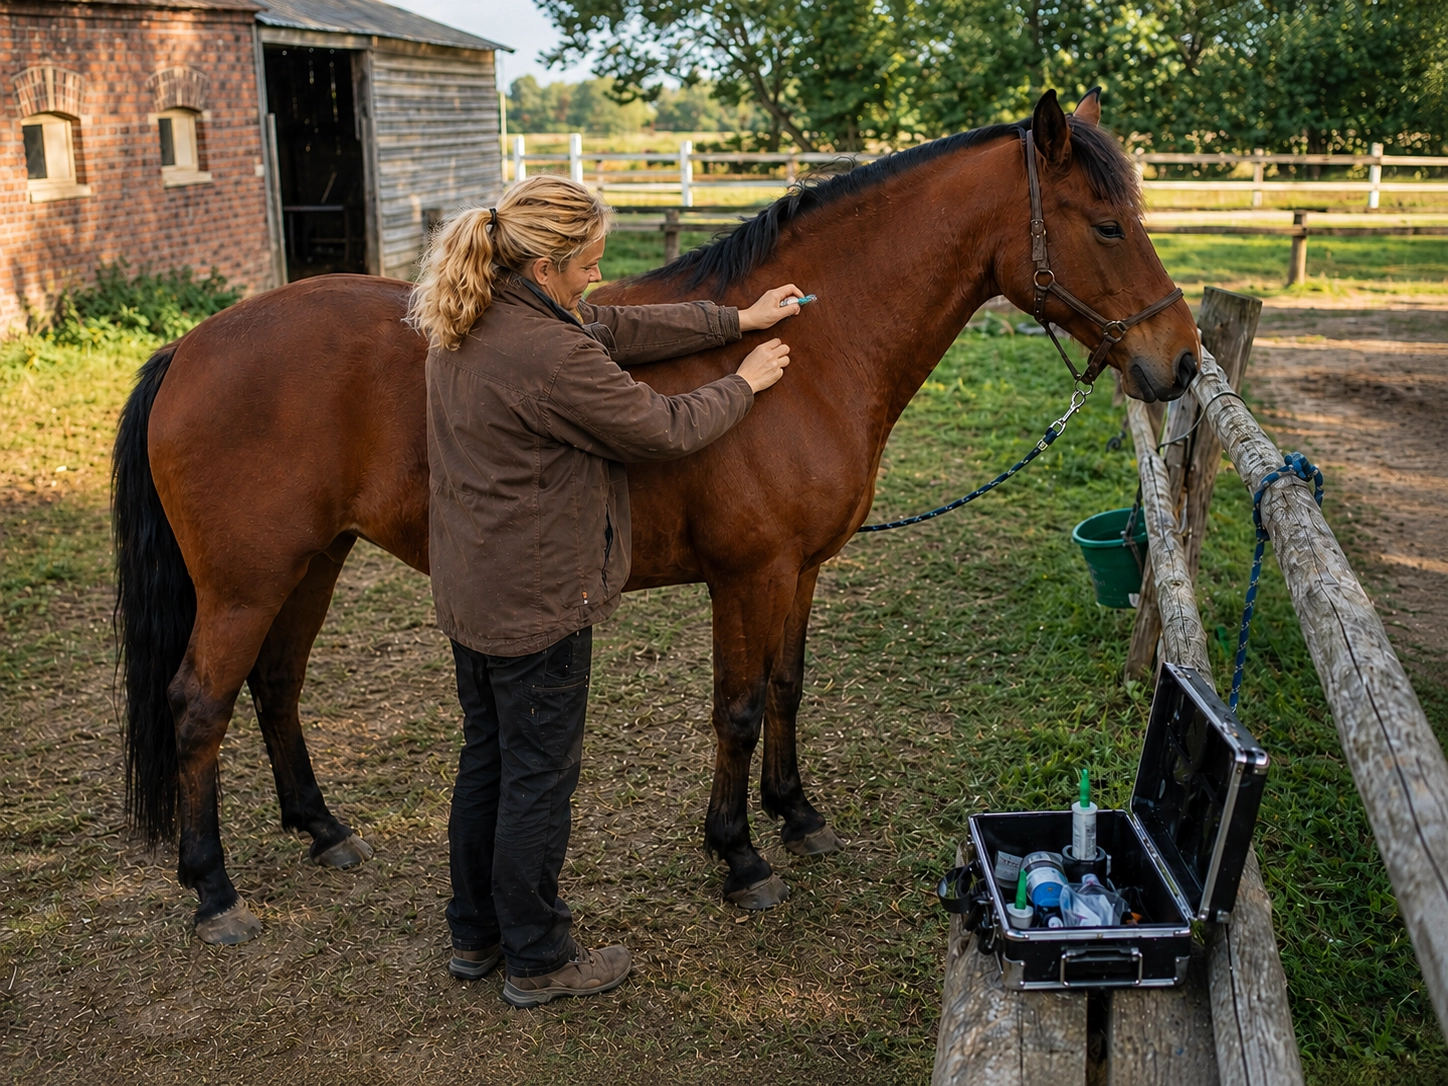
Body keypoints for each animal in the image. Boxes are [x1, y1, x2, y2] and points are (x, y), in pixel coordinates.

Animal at [113, 89, 1199, 944]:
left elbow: (789, 688)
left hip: (314, 562)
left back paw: (324, 831)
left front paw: (797, 815)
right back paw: (214, 892)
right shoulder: (749, 576)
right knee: (199, 705)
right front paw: (741, 858)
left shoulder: (803, 571)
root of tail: (190, 347)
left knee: (275, 687)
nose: (1179, 361)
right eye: (1105, 224)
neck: (812, 359)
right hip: (248, 581)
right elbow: (738, 709)